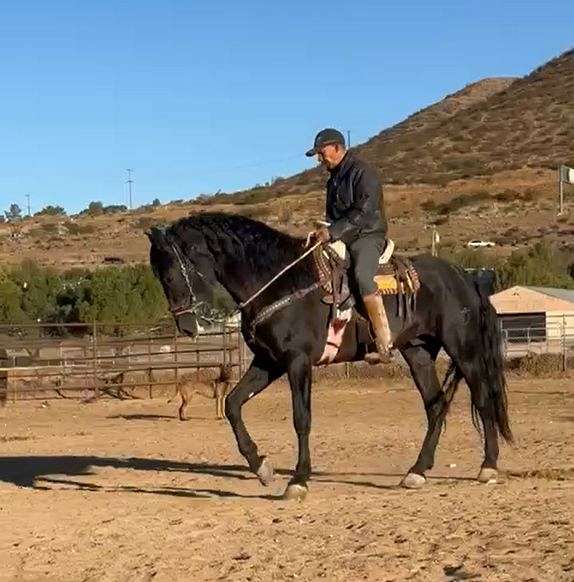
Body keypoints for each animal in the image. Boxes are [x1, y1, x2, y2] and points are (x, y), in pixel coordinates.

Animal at [148, 214, 512, 502]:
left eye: (171, 272)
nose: (186, 326)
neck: (278, 281)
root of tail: (464, 276)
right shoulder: (268, 362)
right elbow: (233, 404)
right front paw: (262, 467)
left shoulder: (296, 362)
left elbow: (301, 419)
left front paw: (298, 480)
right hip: (418, 352)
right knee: (436, 405)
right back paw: (417, 472)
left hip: (463, 350)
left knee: (482, 398)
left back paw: (488, 466)